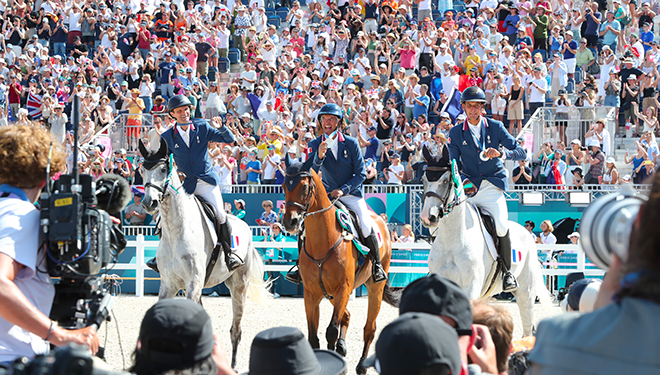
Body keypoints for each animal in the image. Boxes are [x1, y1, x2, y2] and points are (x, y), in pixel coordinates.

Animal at [139, 140, 270, 368]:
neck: (176, 230)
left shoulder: (194, 283)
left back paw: (232, 365)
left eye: (163, 169)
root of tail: (246, 227)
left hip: (239, 285)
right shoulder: (169, 284)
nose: (149, 203)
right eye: (142, 170)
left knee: (236, 330)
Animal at [280, 156, 398, 375]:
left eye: (304, 186)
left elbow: (331, 331)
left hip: (374, 287)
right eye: (284, 186)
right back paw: (342, 348)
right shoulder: (311, 294)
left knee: (369, 328)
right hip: (332, 294)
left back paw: (361, 366)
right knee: (347, 315)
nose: (290, 222)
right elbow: (313, 337)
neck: (323, 241)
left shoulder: (343, 288)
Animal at [418, 145, 552, 336]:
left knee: (527, 327)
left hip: (525, 292)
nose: (427, 217)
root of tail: (525, 232)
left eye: (444, 181)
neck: (453, 239)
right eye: (423, 180)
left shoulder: (471, 287)